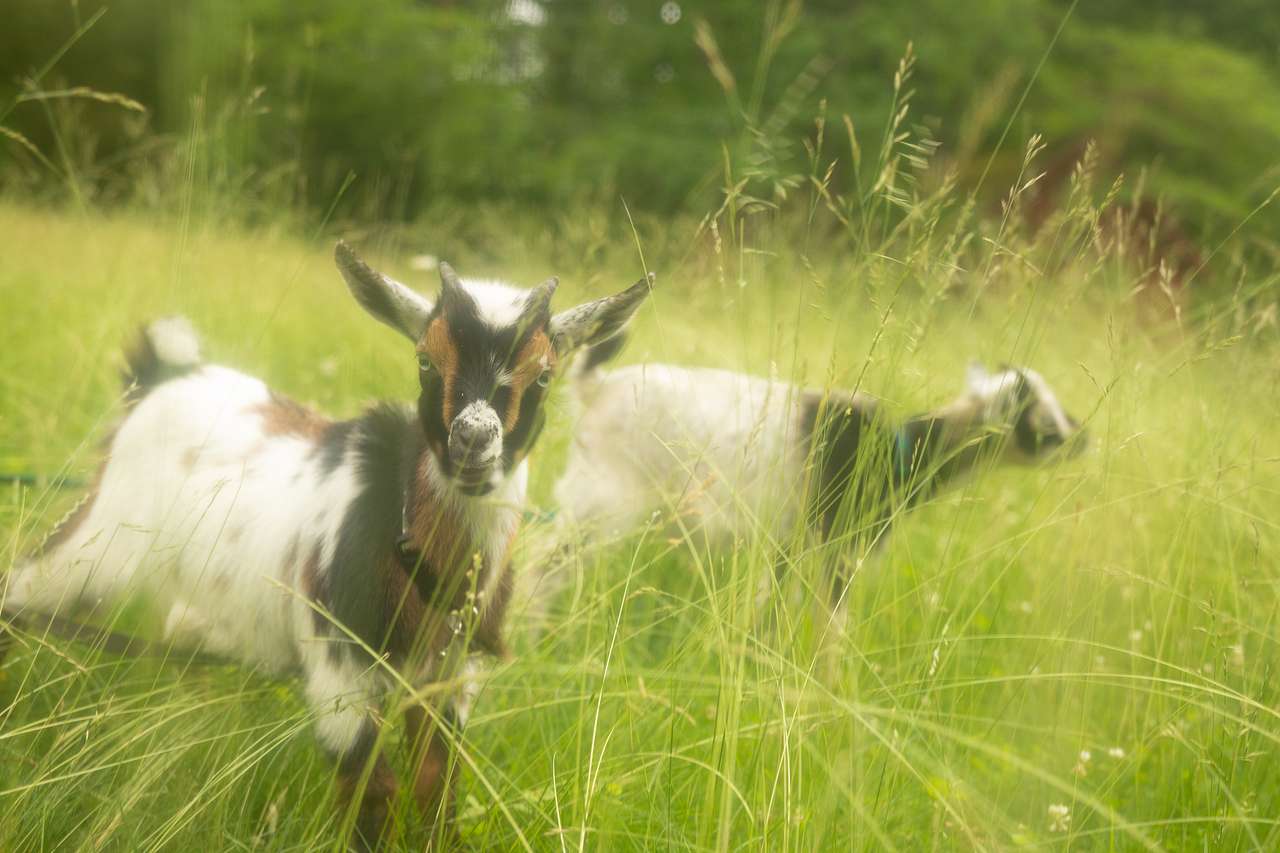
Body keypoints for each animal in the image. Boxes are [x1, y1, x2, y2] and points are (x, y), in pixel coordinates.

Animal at [0, 244, 653, 847]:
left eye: (544, 374)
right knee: (25, 585)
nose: (472, 441)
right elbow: (372, 793)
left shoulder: (449, 680)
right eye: (424, 360)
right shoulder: (340, 677)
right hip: (100, 542)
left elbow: (436, 785)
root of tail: (161, 379)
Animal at [549, 343, 1086, 606]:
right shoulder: (839, 550)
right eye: (1046, 421)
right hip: (598, 505)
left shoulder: (786, 549)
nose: (1084, 438)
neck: (897, 452)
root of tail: (594, 388)